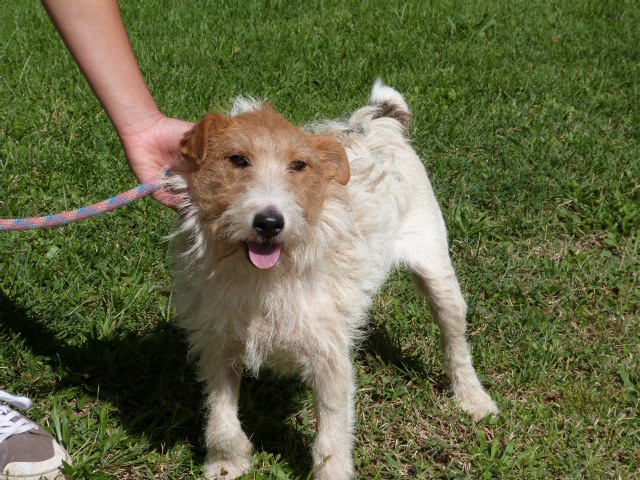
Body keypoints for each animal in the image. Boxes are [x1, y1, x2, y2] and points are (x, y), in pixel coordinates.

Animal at [168, 80, 498, 478]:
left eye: (299, 166)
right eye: (238, 161)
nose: (269, 222)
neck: (264, 277)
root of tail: (380, 122)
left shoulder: (330, 359)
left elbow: (332, 436)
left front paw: (331, 471)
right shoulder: (218, 345)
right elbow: (220, 416)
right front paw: (227, 462)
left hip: (438, 275)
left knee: (455, 341)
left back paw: (472, 397)